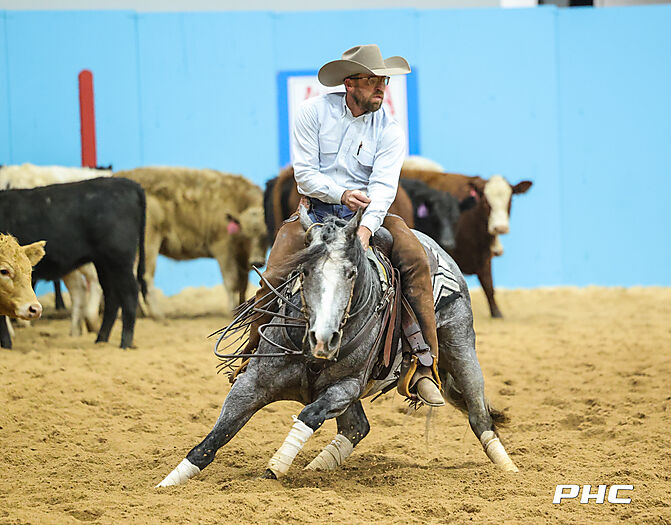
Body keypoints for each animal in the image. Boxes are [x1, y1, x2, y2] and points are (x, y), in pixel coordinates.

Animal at [113, 167, 268, 318]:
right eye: (246, 235)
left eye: (265, 236)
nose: (257, 261)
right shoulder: (222, 247)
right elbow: (231, 280)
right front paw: (232, 310)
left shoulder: (241, 257)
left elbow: (243, 284)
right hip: (149, 242)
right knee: (145, 275)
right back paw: (157, 314)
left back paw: (138, 313)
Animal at [157, 206, 517, 486]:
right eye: (303, 270)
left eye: (351, 273)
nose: (323, 338)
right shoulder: (253, 383)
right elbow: (215, 436)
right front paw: (168, 483)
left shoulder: (346, 387)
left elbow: (309, 415)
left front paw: (276, 467)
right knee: (357, 428)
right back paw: (318, 466)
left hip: (461, 347)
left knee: (479, 417)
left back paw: (509, 468)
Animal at [401, 167, 533, 318]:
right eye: (486, 202)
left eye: (510, 200)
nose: (500, 227)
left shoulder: (484, 256)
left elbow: (488, 285)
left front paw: (497, 313)